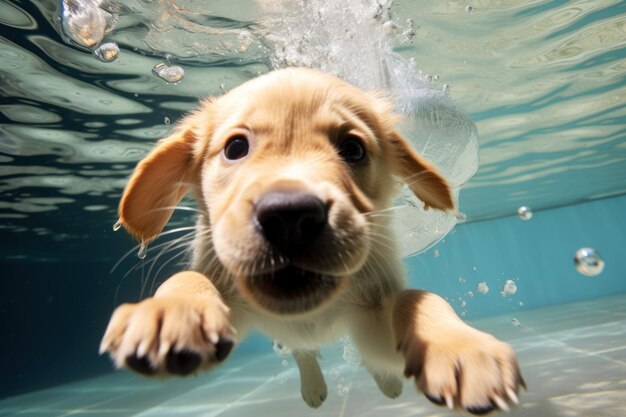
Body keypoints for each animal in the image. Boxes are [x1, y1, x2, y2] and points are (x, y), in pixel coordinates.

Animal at [101, 66, 520, 412]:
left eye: (353, 148)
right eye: (235, 148)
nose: (290, 216)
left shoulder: (376, 316)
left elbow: (416, 299)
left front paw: (461, 349)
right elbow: (190, 278)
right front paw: (170, 312)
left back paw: (388, 385)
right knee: (302, 351)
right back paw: (314, 387)